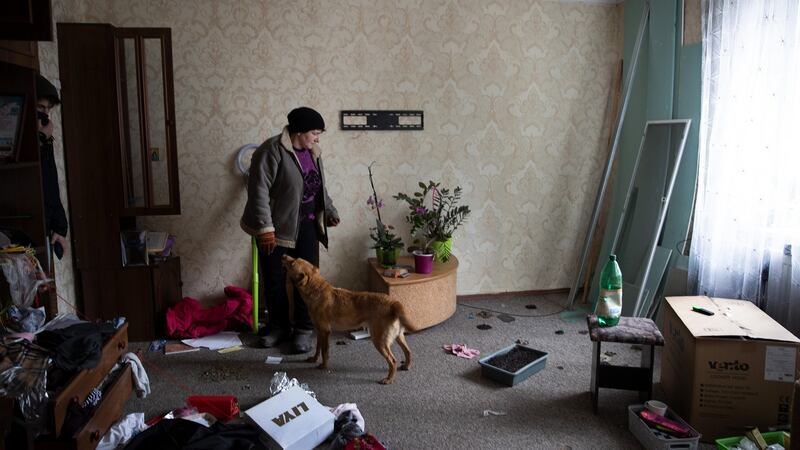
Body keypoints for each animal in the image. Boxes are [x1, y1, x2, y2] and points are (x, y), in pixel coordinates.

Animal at [282, 255, 418, 384]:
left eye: (292, 264)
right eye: (296, 258)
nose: (283, 255)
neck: (316, 289)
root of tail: (393, 303)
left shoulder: (325, 331)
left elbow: (325, 351)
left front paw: (324, 366)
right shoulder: (319, 331)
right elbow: (318, 348)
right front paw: (314, 359)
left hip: (379, 340)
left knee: (393, 361)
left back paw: (389, 379)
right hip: (398, 335)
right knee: (408, 351)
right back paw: (407, 366)